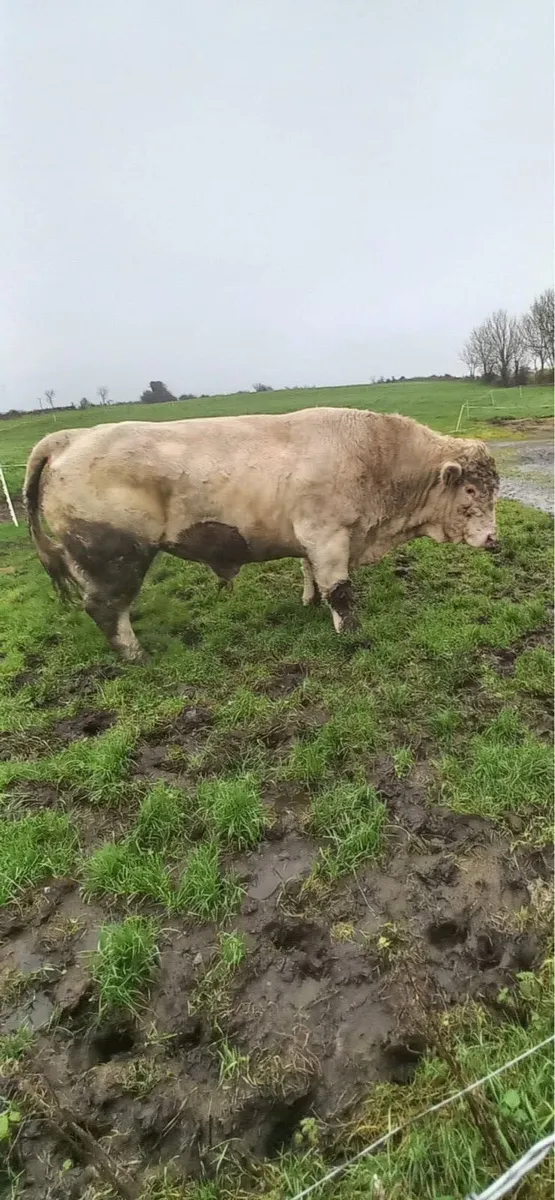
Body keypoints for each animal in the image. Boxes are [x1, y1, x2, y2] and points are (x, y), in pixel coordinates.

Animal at [23, 407, 499, 661]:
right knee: (105, 607)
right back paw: (135, 654)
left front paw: (309, 602)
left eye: (495, 488)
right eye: (471, 490)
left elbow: (310, 574)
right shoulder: (329, 536)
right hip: (114, 553)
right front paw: (350, 632)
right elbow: (340, 591)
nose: (494, 539)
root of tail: (70, 438)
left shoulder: (314, 539)